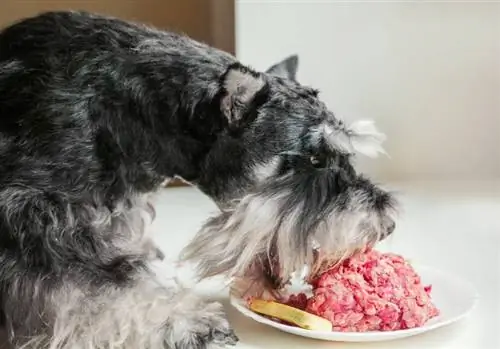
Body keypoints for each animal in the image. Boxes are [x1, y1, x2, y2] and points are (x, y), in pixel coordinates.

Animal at [0, 10, 398, 348]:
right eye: (314, 159)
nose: (388, 224)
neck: (134, 109)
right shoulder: (38, 221)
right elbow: (103, 285)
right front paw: (187, 324)